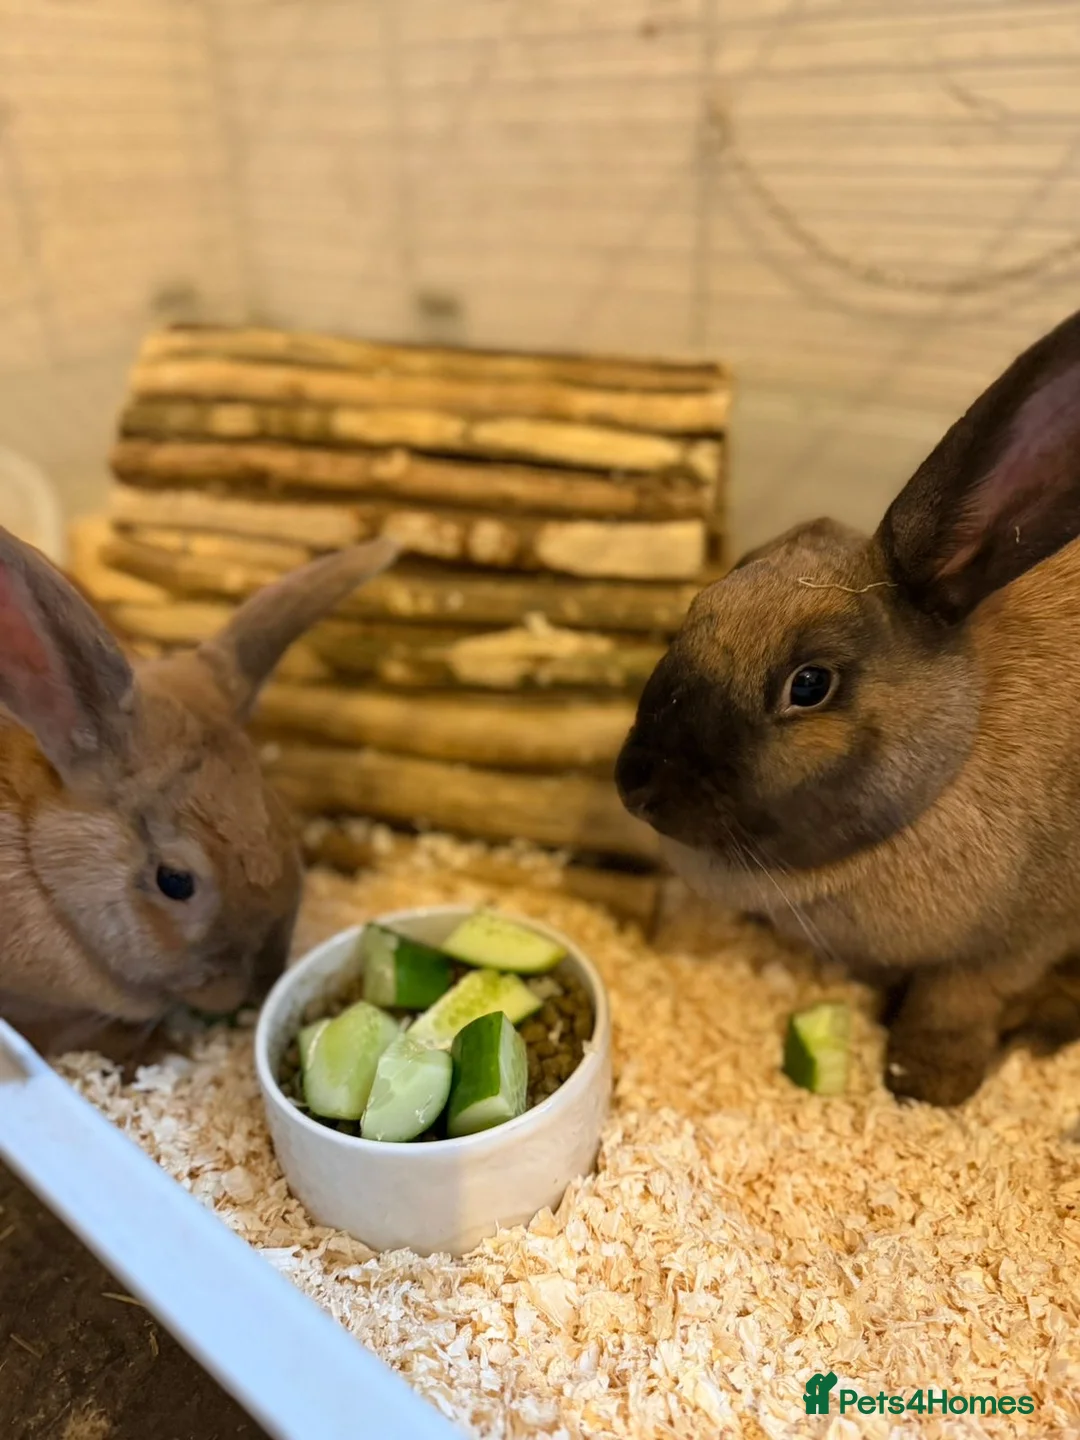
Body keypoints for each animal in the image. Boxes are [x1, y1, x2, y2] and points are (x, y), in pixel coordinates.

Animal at [616, 307, 1080, 1106]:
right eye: (698, 608)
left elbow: (959, 997)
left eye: (809, 685)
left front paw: (927, 1082)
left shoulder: (1025, 937)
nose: (636, 783)